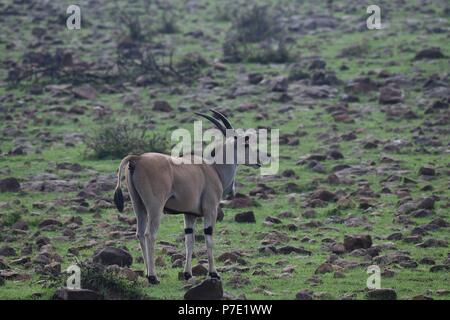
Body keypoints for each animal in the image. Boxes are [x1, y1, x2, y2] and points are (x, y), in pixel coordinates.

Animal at [112, 110, 264, 284]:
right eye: (245, 145)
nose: (258, 161)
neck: (213, 168)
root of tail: (137, 158)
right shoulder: (210, 210)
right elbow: (209, 239)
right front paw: (214, 273)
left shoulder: (189, 215)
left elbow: (189, 241)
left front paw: (187, 273)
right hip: (155, 207)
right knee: (149, 235)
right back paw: (153, 276)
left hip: (139, 206)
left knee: (139, 233)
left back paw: (146, 272)